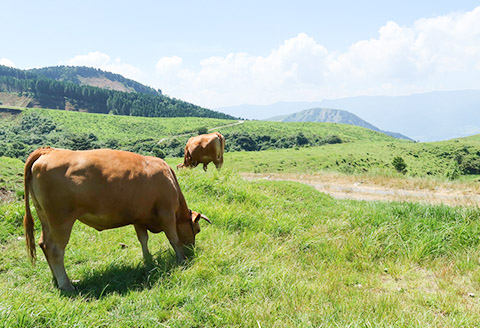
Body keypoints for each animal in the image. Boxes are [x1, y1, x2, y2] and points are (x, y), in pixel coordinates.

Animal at [23, 147, 210, 290]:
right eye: (197, 230)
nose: (192, 250)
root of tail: (48, 151)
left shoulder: (139, 218)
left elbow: (143, 239)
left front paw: (148, 260)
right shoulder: (167, 213)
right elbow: (174, 238)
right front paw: (181, 259)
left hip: (45, 218)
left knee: (43, 244)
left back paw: (56, 279)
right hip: (61, 220)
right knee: (55, 249)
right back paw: (66, 284)